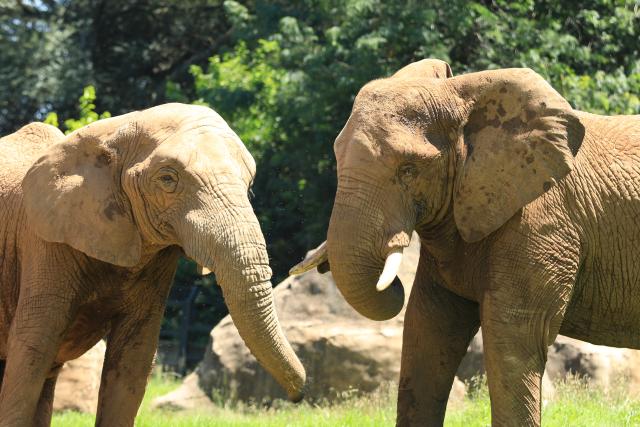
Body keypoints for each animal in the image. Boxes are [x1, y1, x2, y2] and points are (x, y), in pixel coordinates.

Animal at [0, 103, 305, 426]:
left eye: (249, 185)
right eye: (167, 179)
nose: (297, 396)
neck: (114, 130)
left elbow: (134, 359)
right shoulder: (44, 242)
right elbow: (33, 348)